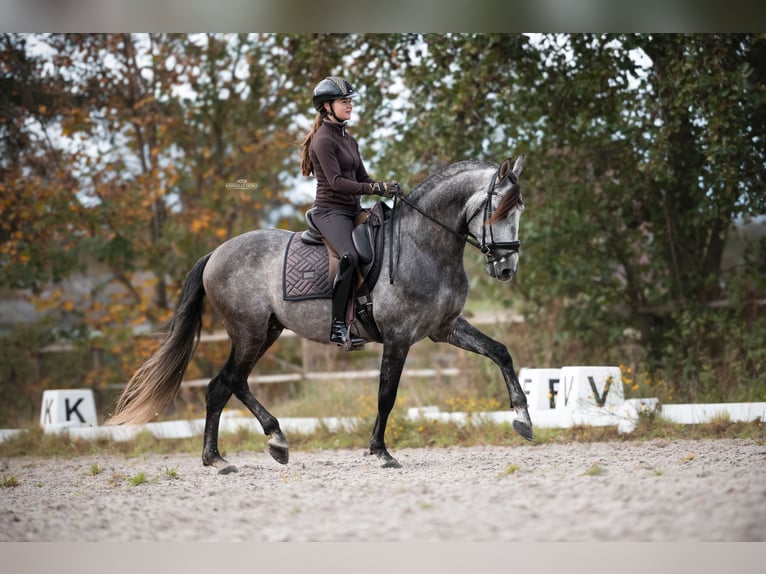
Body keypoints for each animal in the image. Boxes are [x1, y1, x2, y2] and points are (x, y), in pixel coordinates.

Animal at [109, 154, 536, 472]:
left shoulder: (445, 329)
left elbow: (500, 351)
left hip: (267, 332)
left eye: (519, 210)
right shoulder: (398, 338)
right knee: (226, 382)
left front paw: (522, 418)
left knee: (228, 384)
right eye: (497, 211)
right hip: (248, 332)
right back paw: (240, 451)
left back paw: (243, 450)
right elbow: (386, 394)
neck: (423, 245)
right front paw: (381, 451)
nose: (506, 269)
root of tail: (216, 253)